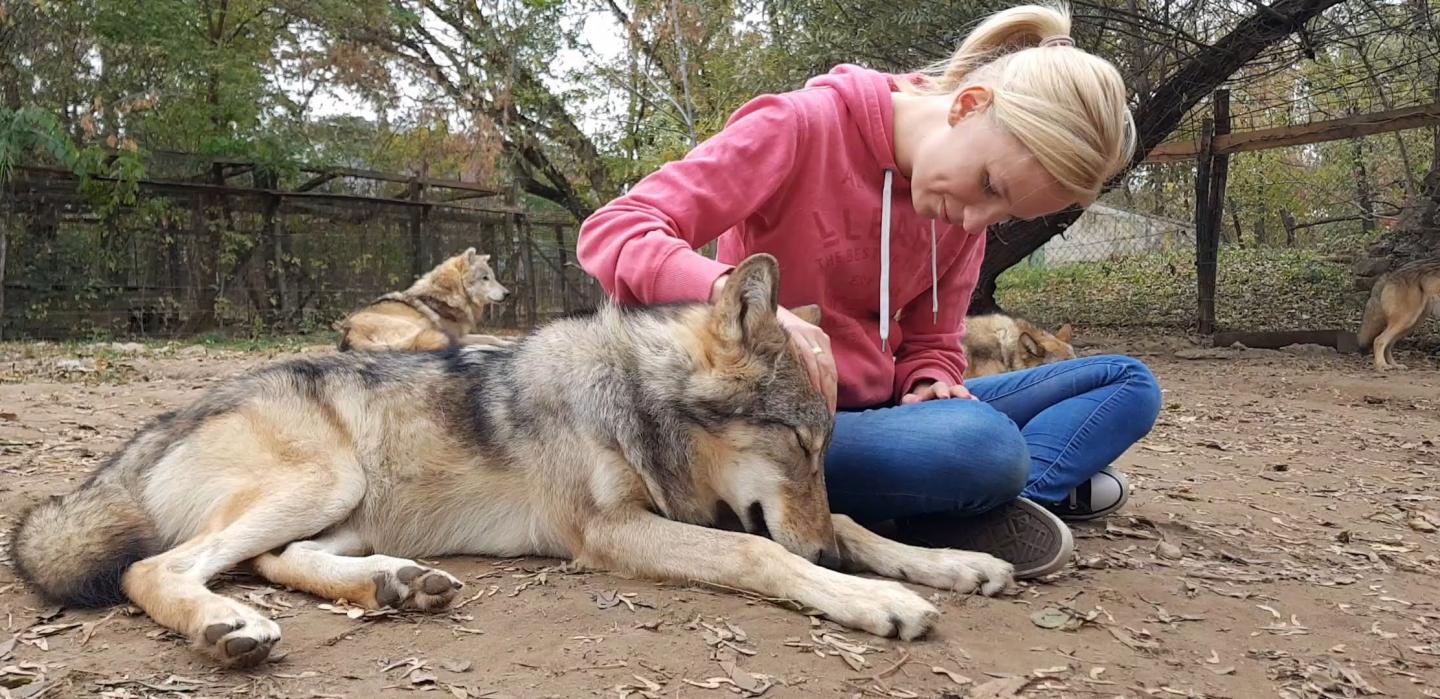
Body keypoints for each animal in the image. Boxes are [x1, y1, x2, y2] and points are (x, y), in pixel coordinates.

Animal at [334, 247, 513, 352]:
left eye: (493, 277)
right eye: (485, 278)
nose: (508, 293)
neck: (449, 295)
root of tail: (350, 330)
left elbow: (498, 336)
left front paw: (512, 340)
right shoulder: (458, 336)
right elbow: (490, 337)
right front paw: (506, 344)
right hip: (415, 328)